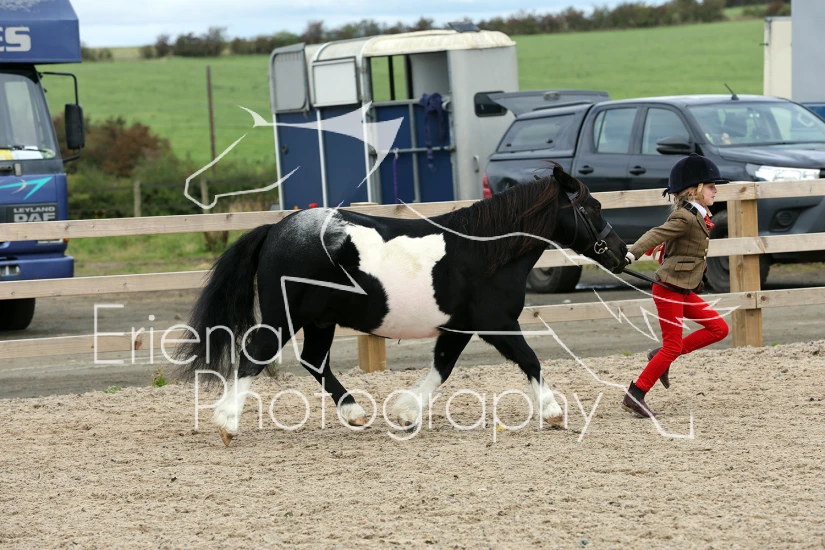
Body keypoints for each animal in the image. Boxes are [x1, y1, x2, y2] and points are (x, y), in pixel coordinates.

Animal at [176, 164, 627, 445]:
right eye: (592, 207)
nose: (622, 252)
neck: (485, 253)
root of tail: (275, 229)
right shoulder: (496, 323)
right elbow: (530, 359)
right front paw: (553, 412)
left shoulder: (459, 327)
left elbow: (442, 368)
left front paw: (408, 413)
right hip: (286, 317)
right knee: (256, 355)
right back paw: (227, 424)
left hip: (320, 320)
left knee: (315, 362)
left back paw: (356, 413)